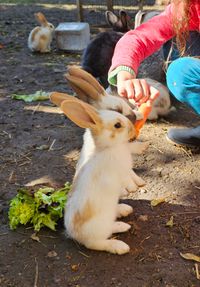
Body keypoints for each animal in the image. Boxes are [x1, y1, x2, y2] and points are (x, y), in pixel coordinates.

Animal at [49, 95, 147, 255]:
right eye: (117, 125)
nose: (132, 129)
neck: (109, 148)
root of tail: (74, 234)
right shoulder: (122, 173)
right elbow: (128, 179)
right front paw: (133, 187)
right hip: (99, 231)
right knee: (96, 243)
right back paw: (120, 246)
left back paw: (123, 215)